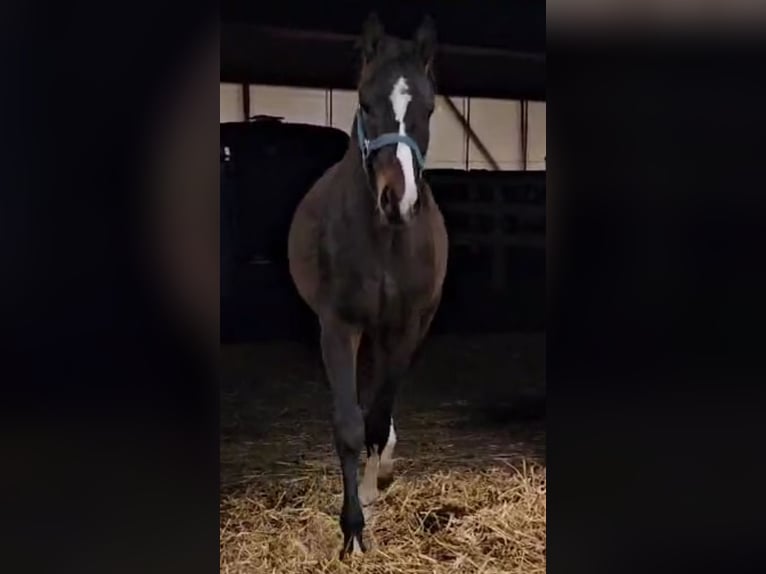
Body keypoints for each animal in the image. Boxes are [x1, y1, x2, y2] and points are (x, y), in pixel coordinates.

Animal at [287, 13, 448, 558]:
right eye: (364, 102)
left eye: (428, 107)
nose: (397, 200)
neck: (385, 240)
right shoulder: (339, 326)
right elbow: (351, 427)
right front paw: (353, 531)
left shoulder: (406, 326)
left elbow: (377, 419)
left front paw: (374, 491)